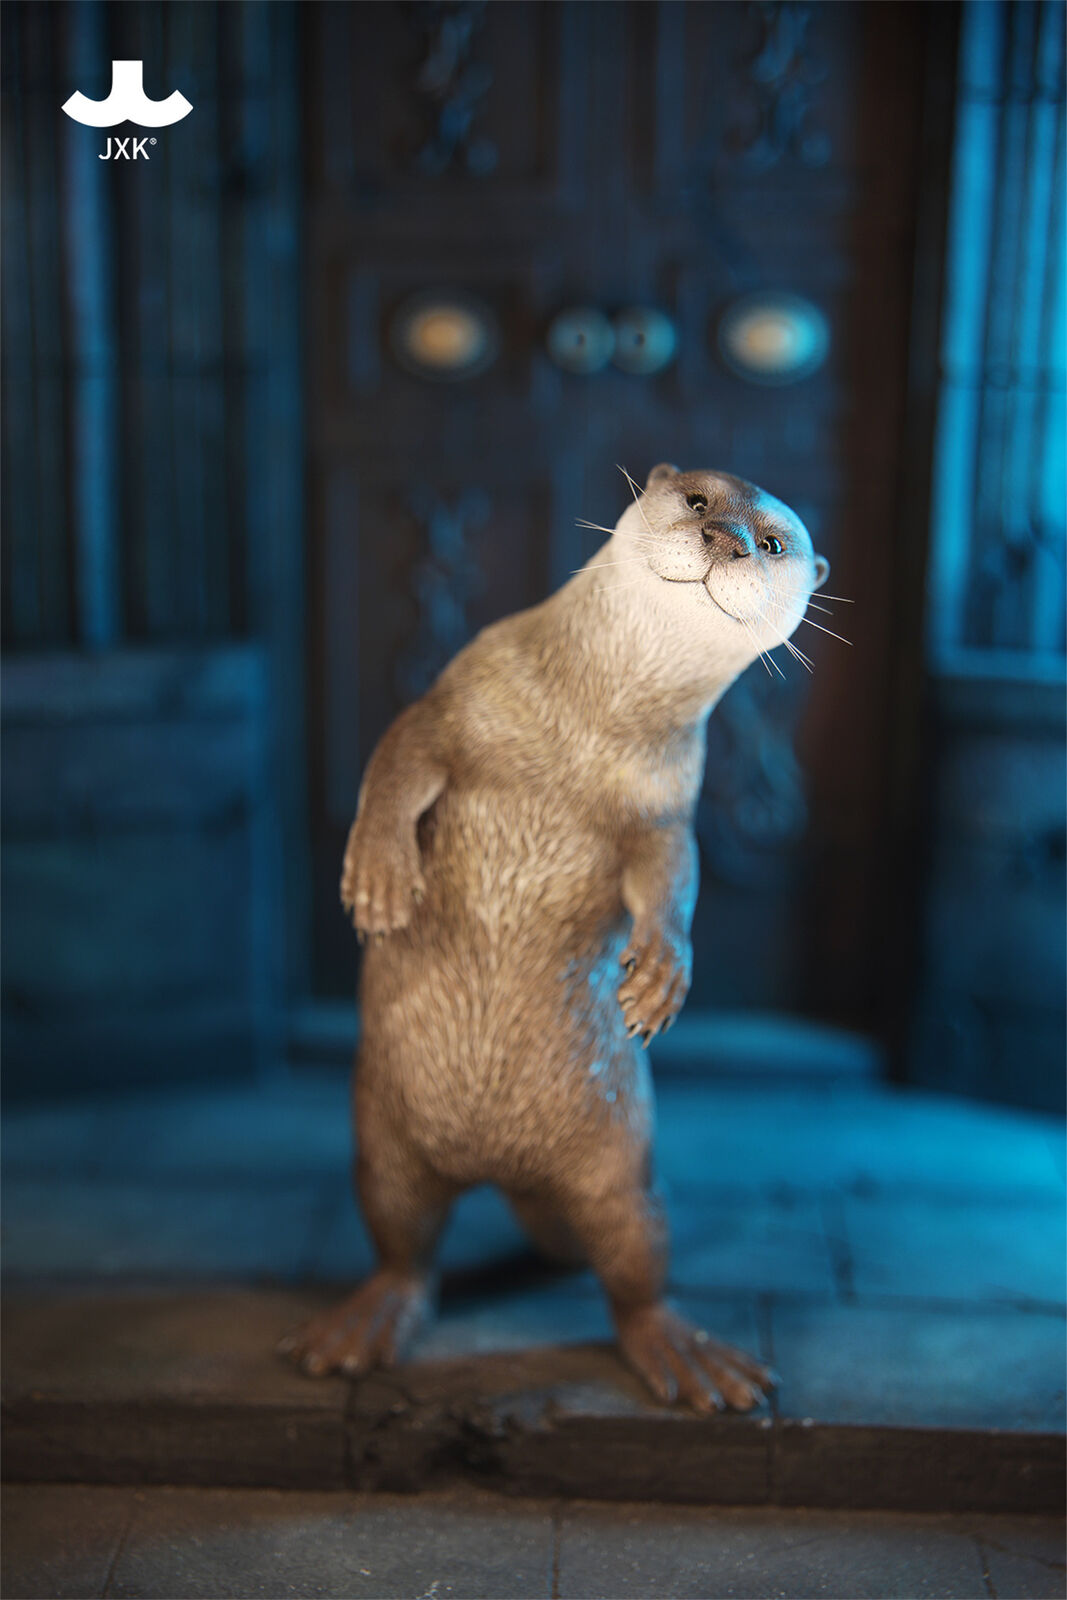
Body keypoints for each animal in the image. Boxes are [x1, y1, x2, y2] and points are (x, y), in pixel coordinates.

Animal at [280, 462, 830, 1412]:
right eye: (698, 501)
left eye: (771, 542)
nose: (724, 539)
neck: (586, 729)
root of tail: (504, 1170)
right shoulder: (453, 700)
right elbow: (394, 762)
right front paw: (380, 877)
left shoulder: (664, 805)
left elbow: (672, 875)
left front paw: (660, 975)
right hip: (381, 1144)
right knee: (404, 1248)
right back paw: (361, 1325)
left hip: (622, 1167)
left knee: (635, 1267)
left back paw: (686, 1356)